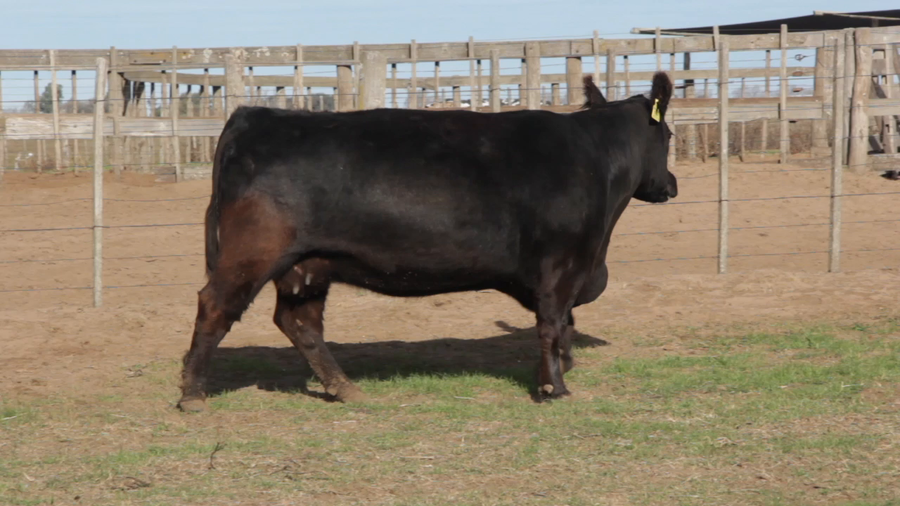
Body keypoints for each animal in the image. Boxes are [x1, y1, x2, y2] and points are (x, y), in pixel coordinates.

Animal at [176, 71, 677, 412]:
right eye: (669, 135)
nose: (670, 184)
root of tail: (254, 115)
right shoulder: (562, 263)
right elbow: (553, 323)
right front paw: (555, 386)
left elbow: (565, 325)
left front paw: (562, 367)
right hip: (252, 254)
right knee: (215, 306)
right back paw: (193, 394)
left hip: (308, 265)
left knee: (300, 323)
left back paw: (346, 388)